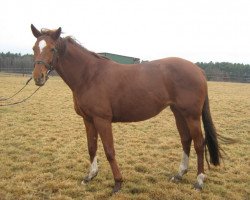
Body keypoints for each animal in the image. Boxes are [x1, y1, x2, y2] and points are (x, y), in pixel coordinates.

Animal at [30, 24, 221, 193]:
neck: (89, 75)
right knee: (186, 140)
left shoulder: (102, 120)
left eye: (52, 49)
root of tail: (198, 70)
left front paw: (118, 183)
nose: (38, 77)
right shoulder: (88, 119)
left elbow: (109, 151)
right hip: (179, 113)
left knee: (199, 144)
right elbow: (91, 147)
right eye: (34, 48)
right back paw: (179, 175)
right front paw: (90, 176)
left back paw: (199, 181)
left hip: (192, 116)